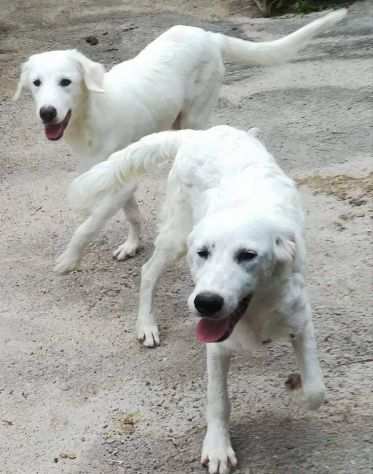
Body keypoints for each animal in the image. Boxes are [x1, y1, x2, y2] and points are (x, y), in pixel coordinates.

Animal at [14, 9, 346, 274]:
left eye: (66, 82)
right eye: (36, 83)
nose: (47, 112)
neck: (92, 112)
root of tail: (210, 35)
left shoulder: (120, 184)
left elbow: (88, 225)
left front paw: (69, 259)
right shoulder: (117, 174)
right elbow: (131, 214)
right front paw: (132, 245)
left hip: (195, 116)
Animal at [70, 124, 326, 472]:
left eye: (248, 255)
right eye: (203, 253)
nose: (206, 302)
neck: (254, 308)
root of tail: (200, 132)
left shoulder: (301, 318)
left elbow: (316, 391)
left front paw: (300, 385)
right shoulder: (216, 346)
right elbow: (218, 401)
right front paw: (218, 447)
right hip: (177, 237)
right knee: (148, 272)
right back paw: (146, 325)